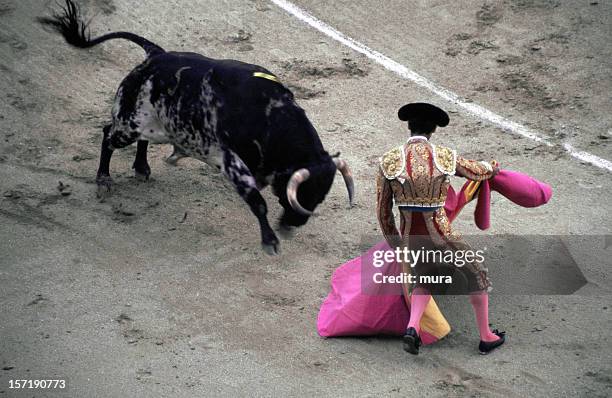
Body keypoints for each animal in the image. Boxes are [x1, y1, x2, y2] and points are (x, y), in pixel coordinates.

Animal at [39, 0, 354, 255]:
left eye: (320, 195)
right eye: (301, 193)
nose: (295, 224)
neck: (270, 117)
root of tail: (155, 55)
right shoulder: (232, 164)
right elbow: (257, 202)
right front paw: (270, 242)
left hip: (155, 126)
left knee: (142, 140)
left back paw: (142, 168)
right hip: (129, 124)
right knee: (108, 134)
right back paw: (104, 179)